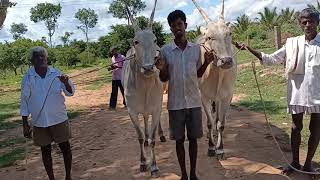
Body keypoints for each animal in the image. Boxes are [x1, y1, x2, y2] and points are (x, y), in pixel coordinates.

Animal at [120, 0, 165, 177]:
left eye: (154, 40)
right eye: (136, 41)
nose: (148, 68)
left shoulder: (156, 108)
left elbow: (153, 139)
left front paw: (154, 166)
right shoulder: (131, 111)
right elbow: (139, 137)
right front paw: (143, 163)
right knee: (144, 123)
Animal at [192, 0, 238, 158]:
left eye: (229, 33)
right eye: (209, 37)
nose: (226, 61)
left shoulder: (227, 96)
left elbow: (220, 123)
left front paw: (220, 148)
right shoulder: (204, 97)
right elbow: (209, 123)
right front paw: (211, 147)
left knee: (217, 117)